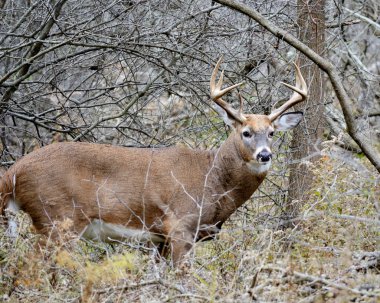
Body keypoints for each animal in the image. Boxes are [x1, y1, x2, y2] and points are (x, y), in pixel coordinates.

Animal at [0, 58, 308, 268]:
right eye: (246, 132)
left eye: (272, 132)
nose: (264, 155)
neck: (212, 179)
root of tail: (14, 172)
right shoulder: (181, 225)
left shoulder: (159, 239)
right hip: (57, 217)